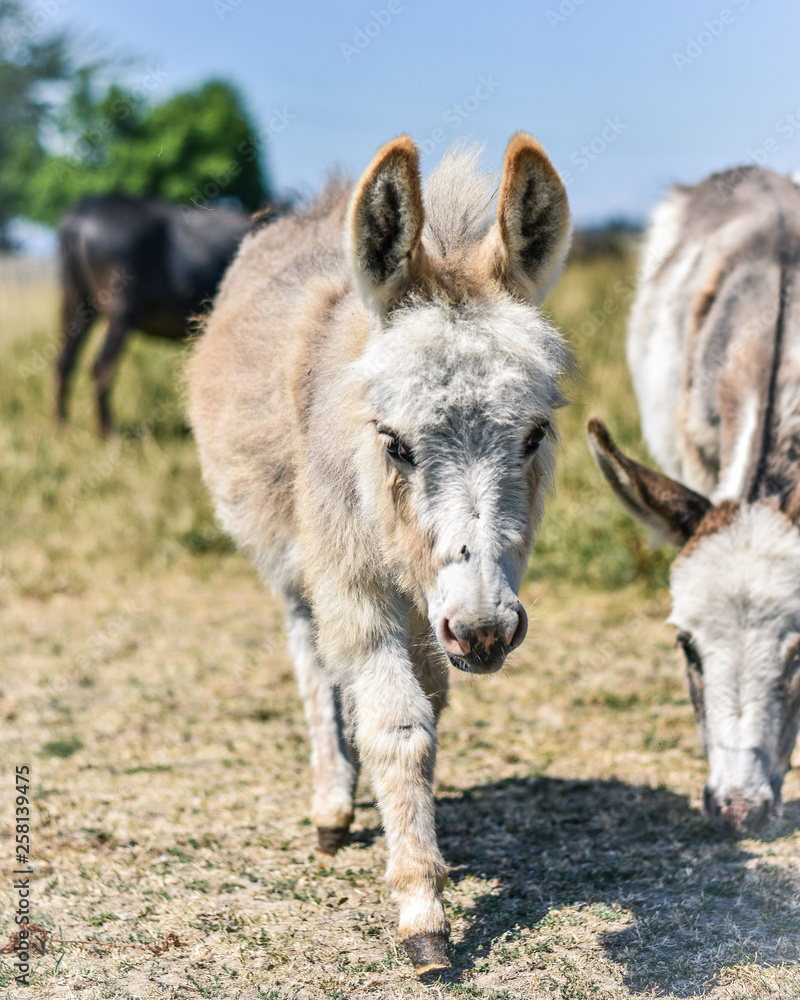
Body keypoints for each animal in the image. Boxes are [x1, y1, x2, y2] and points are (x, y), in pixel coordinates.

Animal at [188, 133, 572, 976]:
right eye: (393, 441)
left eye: (534, 436)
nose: (485, 632)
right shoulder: (353, 582)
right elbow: (398, 725)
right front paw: (422, 915)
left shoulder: (436, 610)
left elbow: (429, 699)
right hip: (291, 560)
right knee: (311, 657)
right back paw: (334, 803)